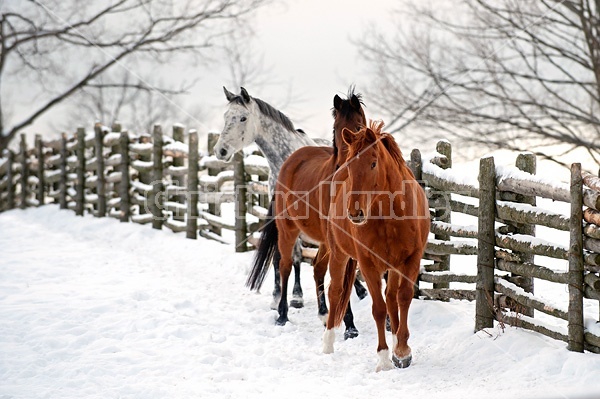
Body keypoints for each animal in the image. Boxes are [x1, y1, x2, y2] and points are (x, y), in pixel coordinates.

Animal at [247, 90, 366, 338]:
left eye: (359, 126)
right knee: (285, 265)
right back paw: (283, 314)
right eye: (336, 128)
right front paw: (349, 326)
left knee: (317, 268)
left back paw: (323, 313)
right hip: (288, 230)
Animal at [324, 123, 432, 374]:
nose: (355, 213)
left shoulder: (410, 260)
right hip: (339, 254)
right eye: (350, 164)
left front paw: (402, 352)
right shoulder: (368, 264)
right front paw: (383, 359)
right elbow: (379, 309)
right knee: (335, 291)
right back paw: (327, 344)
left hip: (392, 266)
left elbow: (403, 298)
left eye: (373, 163)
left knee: (392, 298)